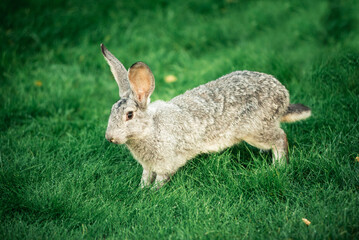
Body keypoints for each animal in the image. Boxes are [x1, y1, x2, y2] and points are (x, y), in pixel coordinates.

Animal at [100, 44, 312, 188]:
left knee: (280, 138)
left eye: (129, 115)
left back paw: (278, 167)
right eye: (111, 111)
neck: (151, 128)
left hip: (255, 129)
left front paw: (152, 193)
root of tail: (283, 96)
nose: (110, 138)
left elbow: (160, 180)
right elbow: (145, 178)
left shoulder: (166, 163)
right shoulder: (148, 166)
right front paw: (141, 190)